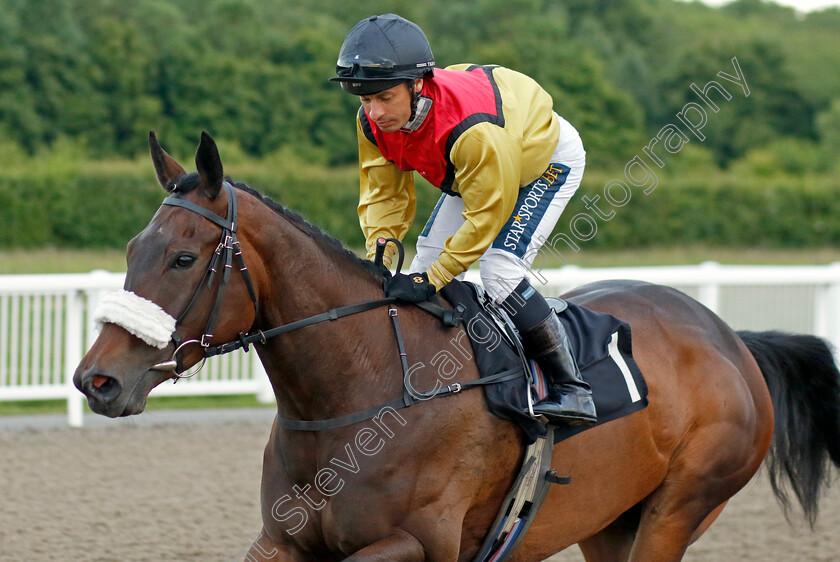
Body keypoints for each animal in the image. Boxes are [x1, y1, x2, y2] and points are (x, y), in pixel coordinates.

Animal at [74, 132, 840, 560]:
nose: (96, 381)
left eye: (182, 258)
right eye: (133, 248)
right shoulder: (283, 540)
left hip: (681, 506)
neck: (363, 393)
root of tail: (730, 340)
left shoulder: (420, 543)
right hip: (610, 522)